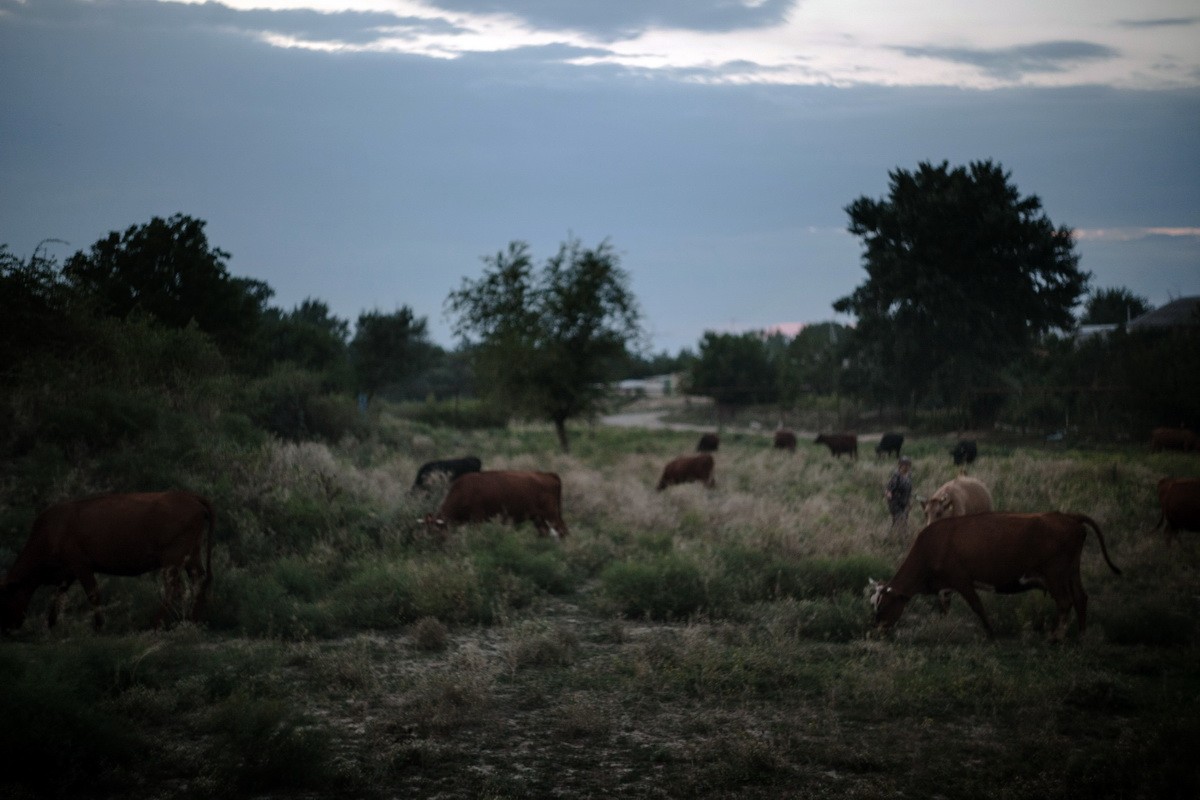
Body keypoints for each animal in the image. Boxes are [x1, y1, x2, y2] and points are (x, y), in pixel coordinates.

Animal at [1, 491, 216, 633]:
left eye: (6, 596)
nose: (8, 628)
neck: (51, 531)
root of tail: (192, 498)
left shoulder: (81, 565)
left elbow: (93, 595)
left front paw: (99, 626)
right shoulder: (68, 573)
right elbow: (58, 596)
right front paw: (51, 624)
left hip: (172, 559)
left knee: (175, 588)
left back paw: (155, 625)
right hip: (191, 557)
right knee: (198, 581)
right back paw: (193, 621)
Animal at [422, 470, 571, 537]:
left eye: (435, 531)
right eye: (426, 530)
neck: (463, 490)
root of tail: (548, 475)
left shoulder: (478, 518)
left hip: (551, 515)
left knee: (562, 530)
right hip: (539, 518)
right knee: (544, 531)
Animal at [868, 515, 1118, 642]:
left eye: (884, 606)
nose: (876, 631)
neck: (933, 545)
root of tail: (1065, 516)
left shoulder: (961, 579)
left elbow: (977, 605)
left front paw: (991, 632)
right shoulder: (946, 587)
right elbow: (944, 607)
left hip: (1055, 574)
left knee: (1065, 602)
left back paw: (1056, 637)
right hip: (1071, 571)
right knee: (1081, 598)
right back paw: (1081, 635)